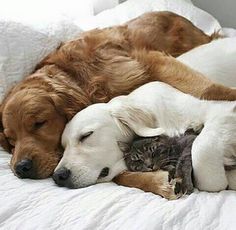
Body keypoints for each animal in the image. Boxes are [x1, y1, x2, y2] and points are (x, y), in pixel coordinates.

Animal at [0, 11, 236, 181]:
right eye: (10, 140)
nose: (21, 168)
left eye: (39, 123)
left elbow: (209, 90)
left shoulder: (148, 61)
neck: (76, 77)